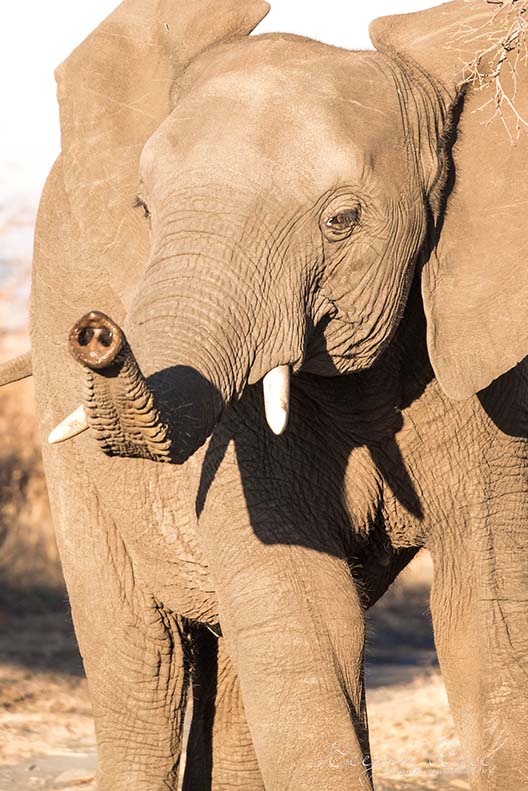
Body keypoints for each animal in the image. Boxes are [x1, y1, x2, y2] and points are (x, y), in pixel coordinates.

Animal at [1, 0, 527, 788]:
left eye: (341, 221)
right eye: (144, 211)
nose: (96, 331)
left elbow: (489, 619)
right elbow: (307, 617)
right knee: (142, 662)